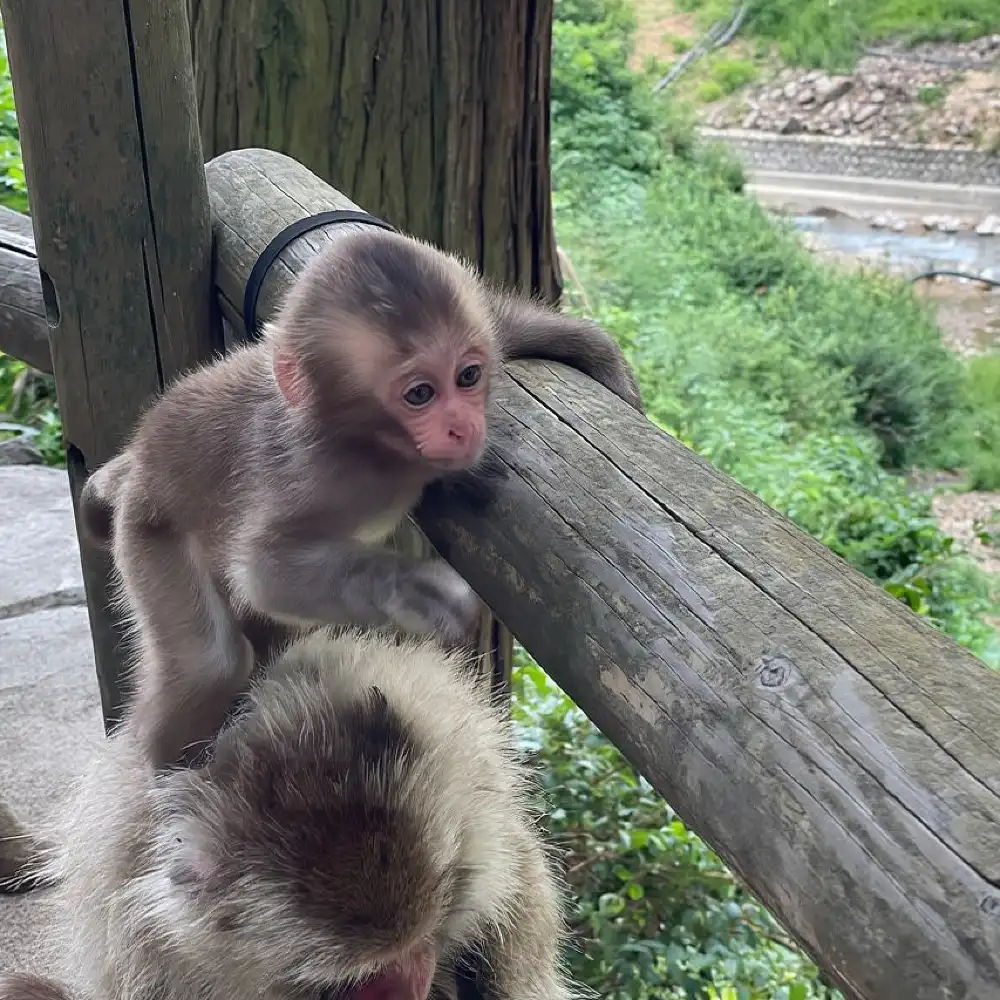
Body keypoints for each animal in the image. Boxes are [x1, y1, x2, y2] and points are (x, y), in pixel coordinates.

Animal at [79, 225, 644, 768]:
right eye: (420, 394)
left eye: (468, 375)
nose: (462, 427)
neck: (377, 445)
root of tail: (138, 463)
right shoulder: (319, 472)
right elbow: (264, 573)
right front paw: (411, 589)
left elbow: (499, 322)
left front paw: (593, 351)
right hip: (149, 533)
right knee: (211, 663)